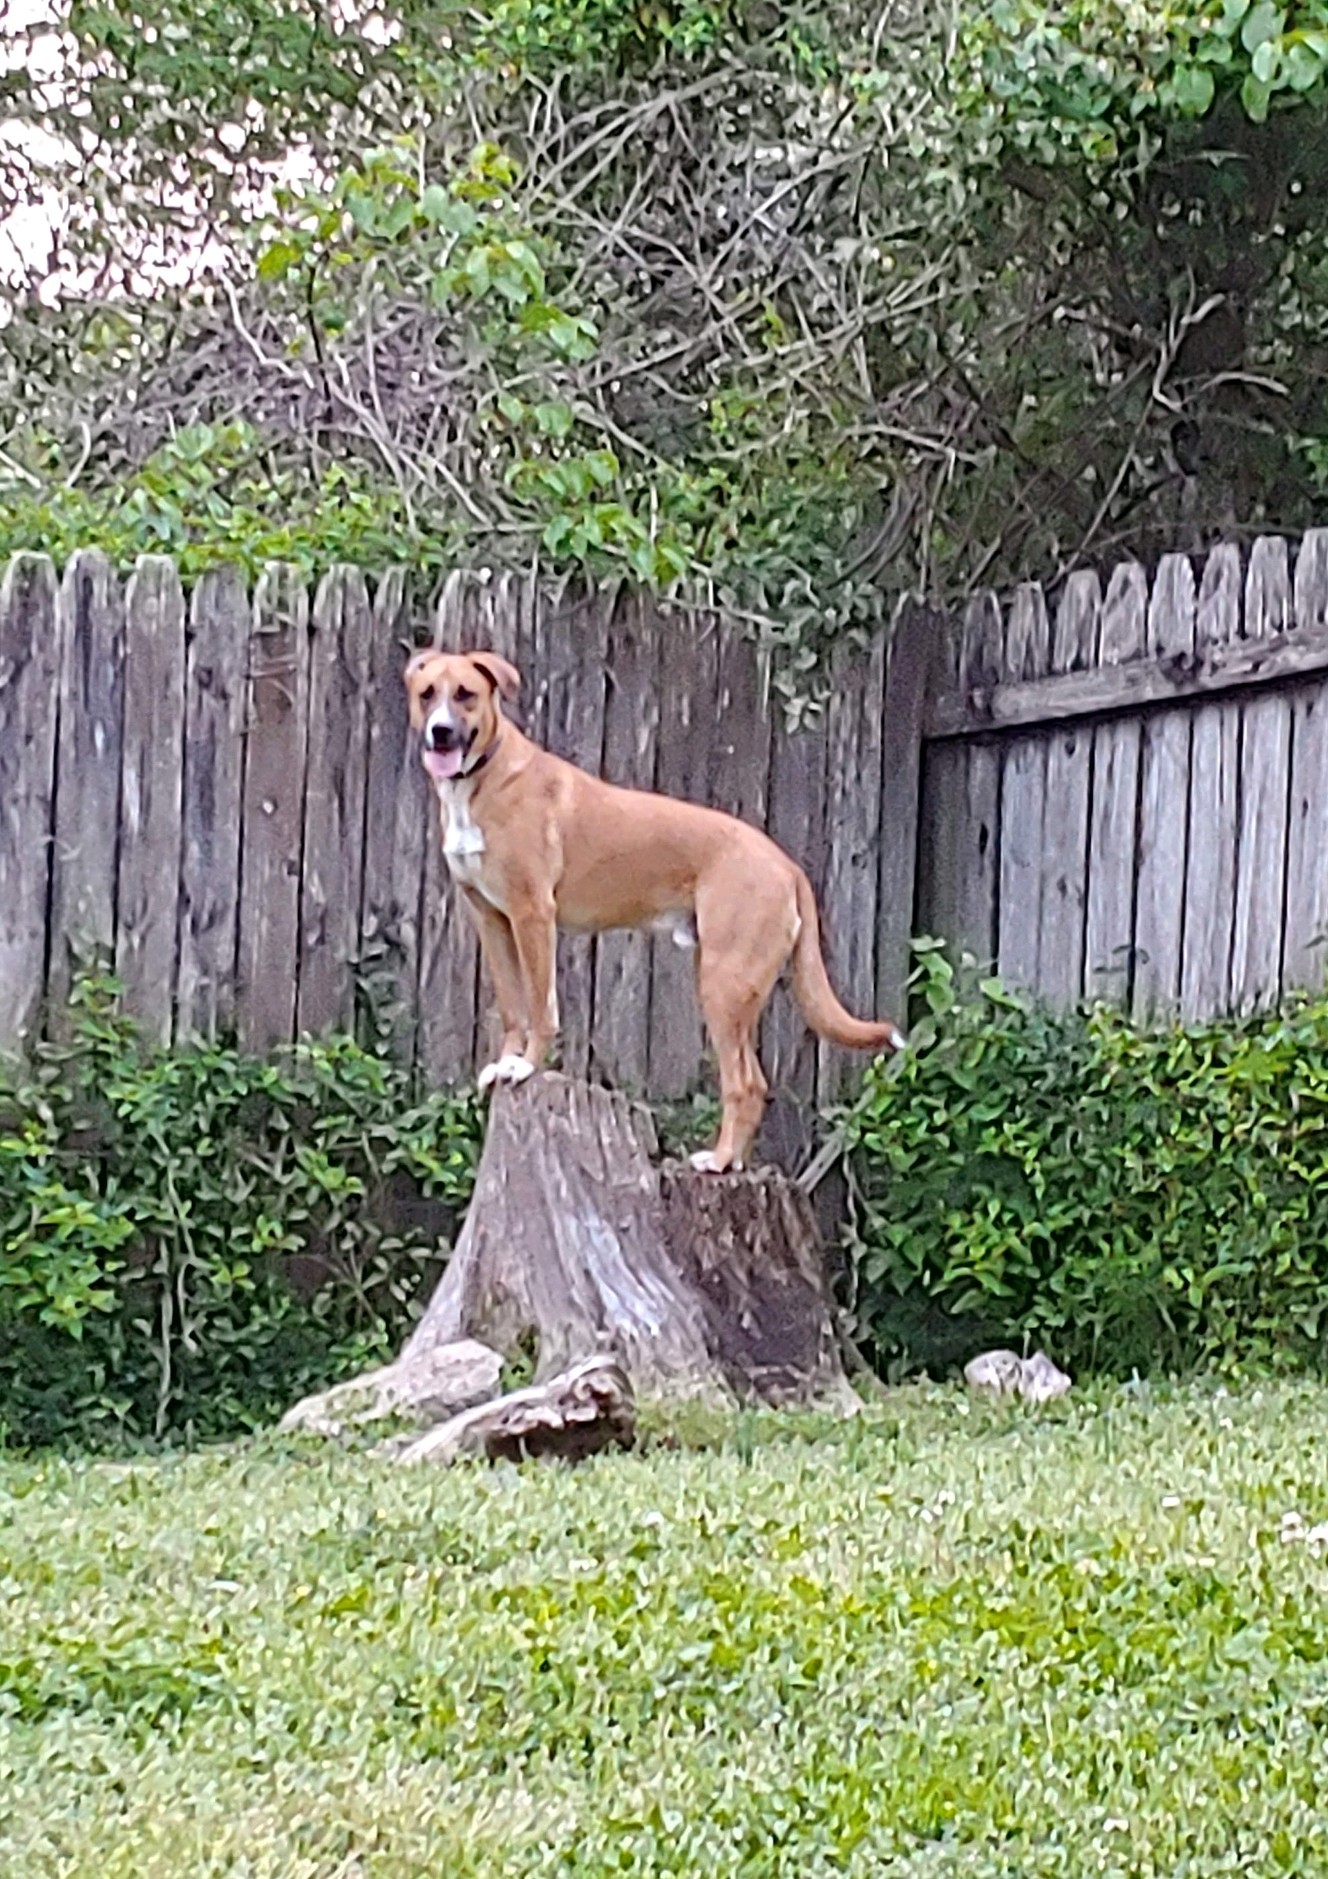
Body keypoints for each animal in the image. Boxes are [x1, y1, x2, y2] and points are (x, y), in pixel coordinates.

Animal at [405, 650, 905, 1172]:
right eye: (427, 694)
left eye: (466, 694)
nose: (441, 731)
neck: (480, 781)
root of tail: (787, 865)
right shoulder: (491, 919)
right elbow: (512, 1006)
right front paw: (505, 1062)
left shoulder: (532, 914)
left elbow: (541, 1007)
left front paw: (525, 1064)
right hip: (731, 986)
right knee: (755, 1083)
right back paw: (733, 1162)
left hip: (723, 985)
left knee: (744, 1085)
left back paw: (717, 1160)